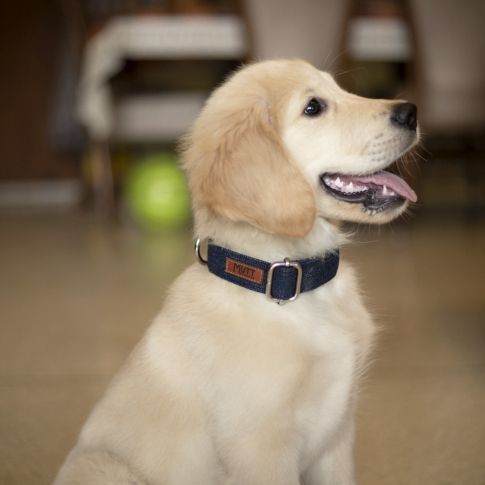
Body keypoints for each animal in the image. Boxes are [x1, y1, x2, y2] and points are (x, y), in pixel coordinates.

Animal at [54, 60, 416, 484]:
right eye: (313, 107)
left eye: (341, 90)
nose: (411, 112)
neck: (288, 281)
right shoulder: (261, 450)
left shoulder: (337, 440)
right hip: (105, 467)